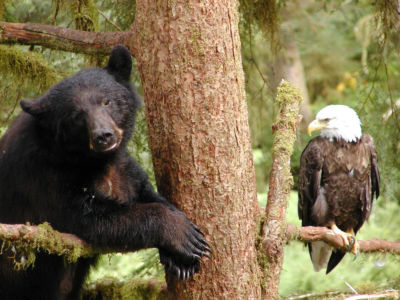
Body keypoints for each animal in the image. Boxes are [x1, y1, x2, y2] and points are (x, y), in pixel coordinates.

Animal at [0, 45, 211, 300]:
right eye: (76, 115)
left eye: (107, 101)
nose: (103, 136)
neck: (91, 159)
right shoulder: (44, 174)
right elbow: (89, 216)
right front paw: (183, 234)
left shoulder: (123, 169)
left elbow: (145, 192)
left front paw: (182, 259)